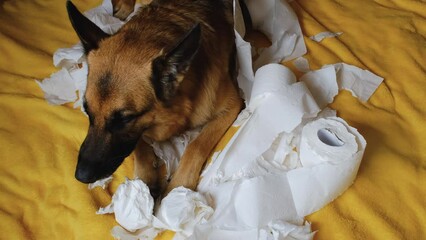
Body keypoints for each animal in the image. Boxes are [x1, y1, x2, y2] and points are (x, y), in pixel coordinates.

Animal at [68, 0, 245, 198]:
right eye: (87, 111)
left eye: (125, 119)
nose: (81, 176)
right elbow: (139, 145)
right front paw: (144, 180)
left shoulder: (232, 106)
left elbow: (196, 145)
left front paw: (178, 186)